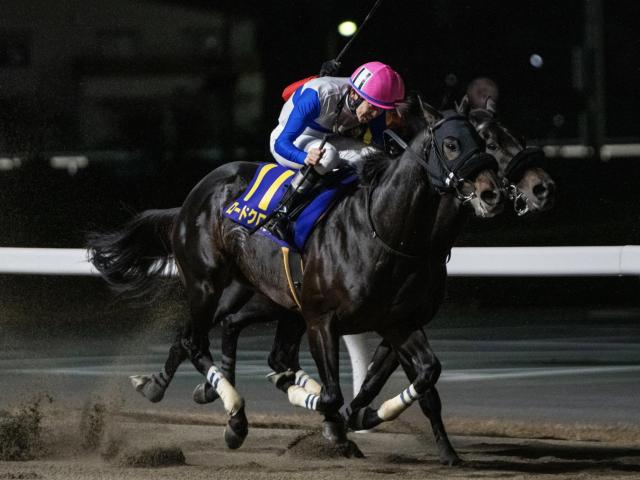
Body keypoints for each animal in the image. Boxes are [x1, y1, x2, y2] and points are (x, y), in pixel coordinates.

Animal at [88, 105, 503, 462]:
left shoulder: (398, 321)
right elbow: (334, 395)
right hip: (207, 284)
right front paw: (335, 422)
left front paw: (441, 449)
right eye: (451, 144)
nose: (491, 192)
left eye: (484, 144)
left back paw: (165, 385)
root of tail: (193, 197)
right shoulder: (321, 320)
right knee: (197, 340)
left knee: (219, 335)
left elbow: (426, 375)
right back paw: (232, 414)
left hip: (257, 295)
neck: (386, 234)